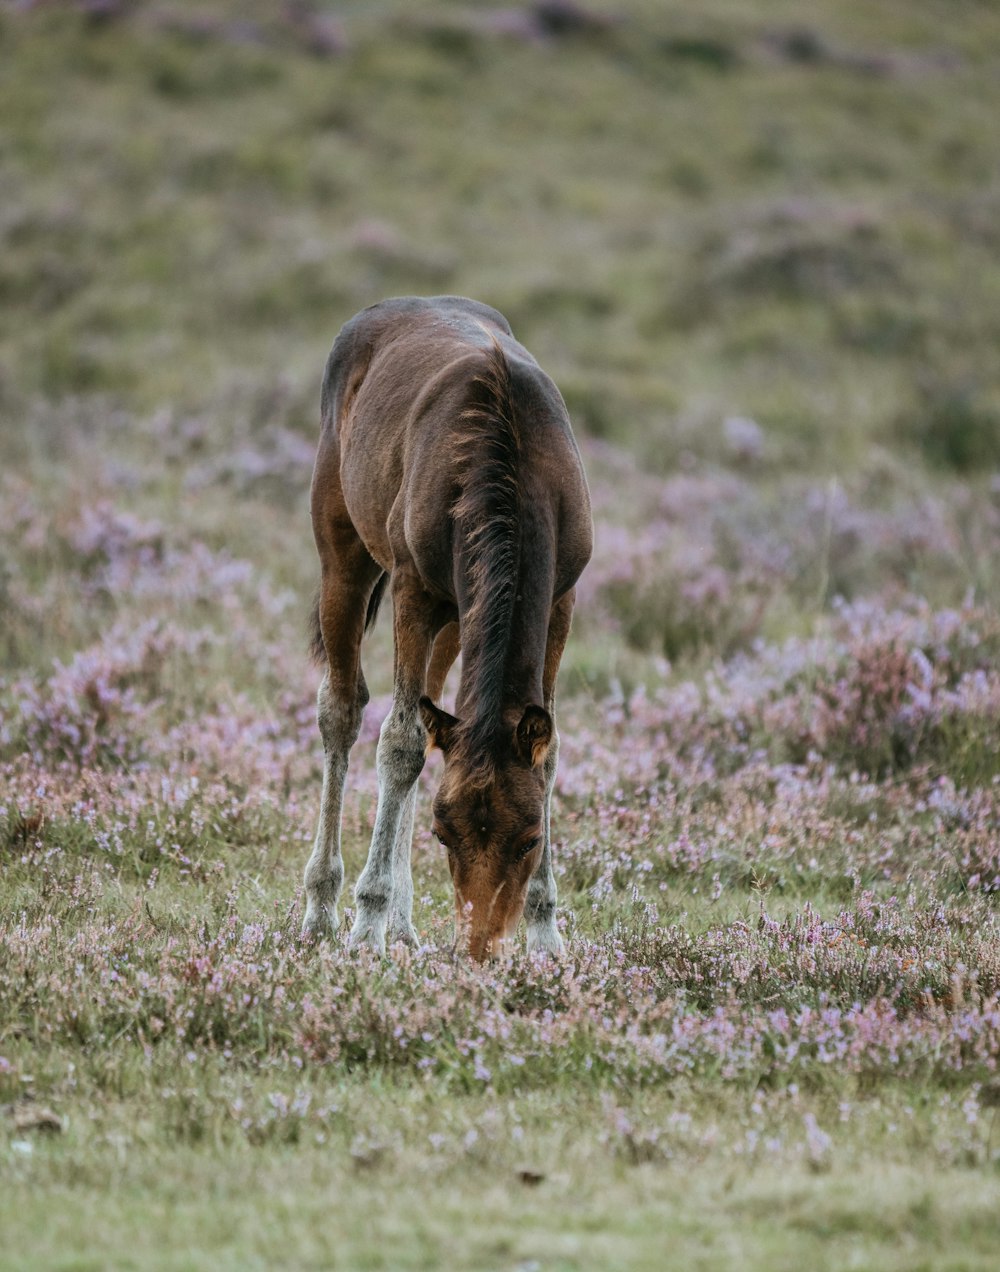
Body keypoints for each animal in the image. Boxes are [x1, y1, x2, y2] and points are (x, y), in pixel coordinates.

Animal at [300, 295, 587, 956]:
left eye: (530, 840)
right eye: (444, 835)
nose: (478, 949)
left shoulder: (560, 600)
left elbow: (548, 752)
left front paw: (546, 937)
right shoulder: (414, 589)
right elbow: (400, 742)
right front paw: (367, 926)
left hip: (458, 619)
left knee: (433, 714)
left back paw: (405, 926)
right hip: (344, 556)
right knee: (342, 709)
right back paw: (322, 910)